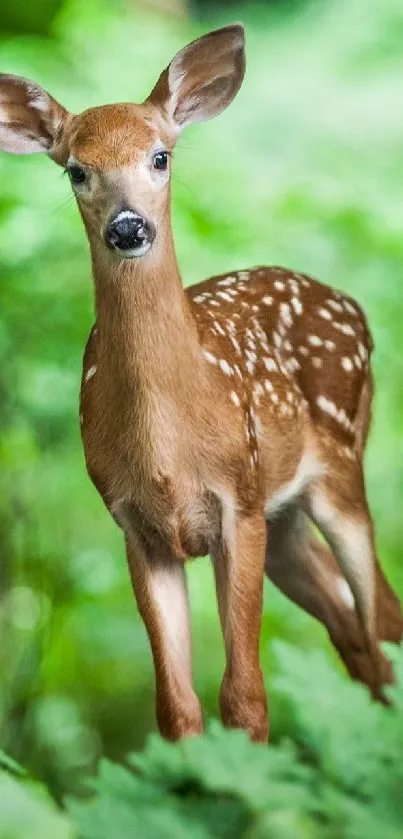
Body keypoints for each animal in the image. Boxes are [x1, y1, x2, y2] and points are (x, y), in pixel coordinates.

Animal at [1, 23, 402, 740]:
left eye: (161, 156)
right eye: (77, 169)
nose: (128, 227)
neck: (167, 446)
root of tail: (350, 304)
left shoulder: (237, 501)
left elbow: (244, 697)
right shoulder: (135, 525)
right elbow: (177, 708)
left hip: (338, 470)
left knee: (382, 617)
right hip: (285, 519)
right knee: (356, 635)